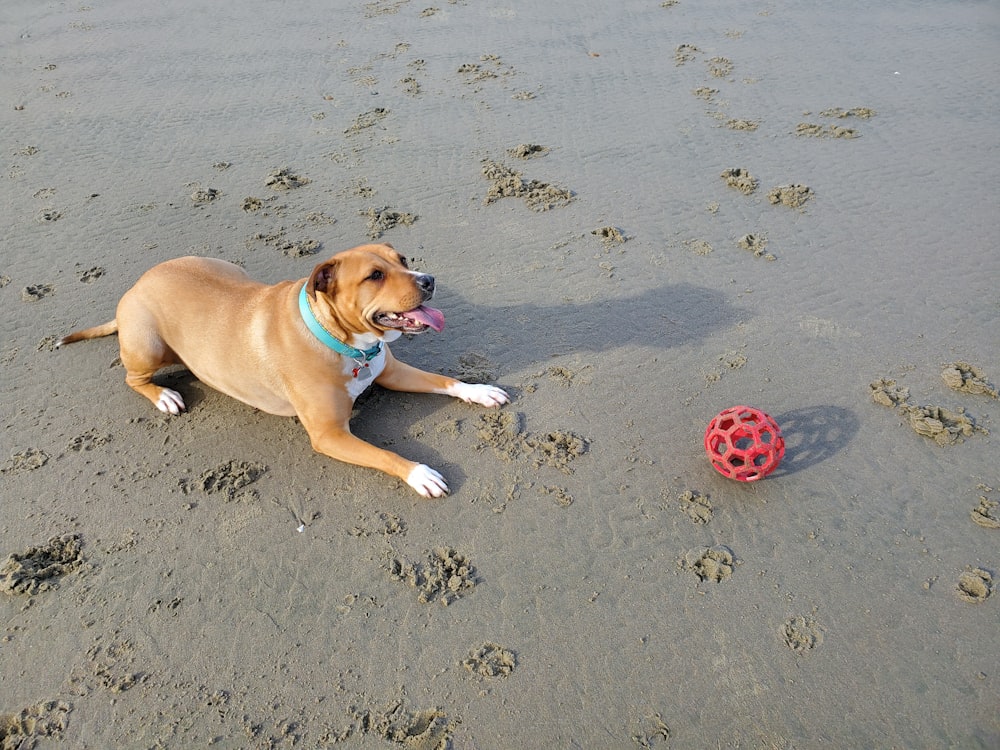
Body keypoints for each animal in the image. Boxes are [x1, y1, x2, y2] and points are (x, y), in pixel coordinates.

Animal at [56, 244, 508, 496]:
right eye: (375, 276)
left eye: (403, 260)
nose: (428, 279)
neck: (344, 341)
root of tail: (135, 285)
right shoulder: (329, 434)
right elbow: (385, 453)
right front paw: (419, 473)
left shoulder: (390, 372)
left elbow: (446, 380)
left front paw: (479, 390)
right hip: (148, 345)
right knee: (133, 378)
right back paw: (164, 395)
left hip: (227, 268)